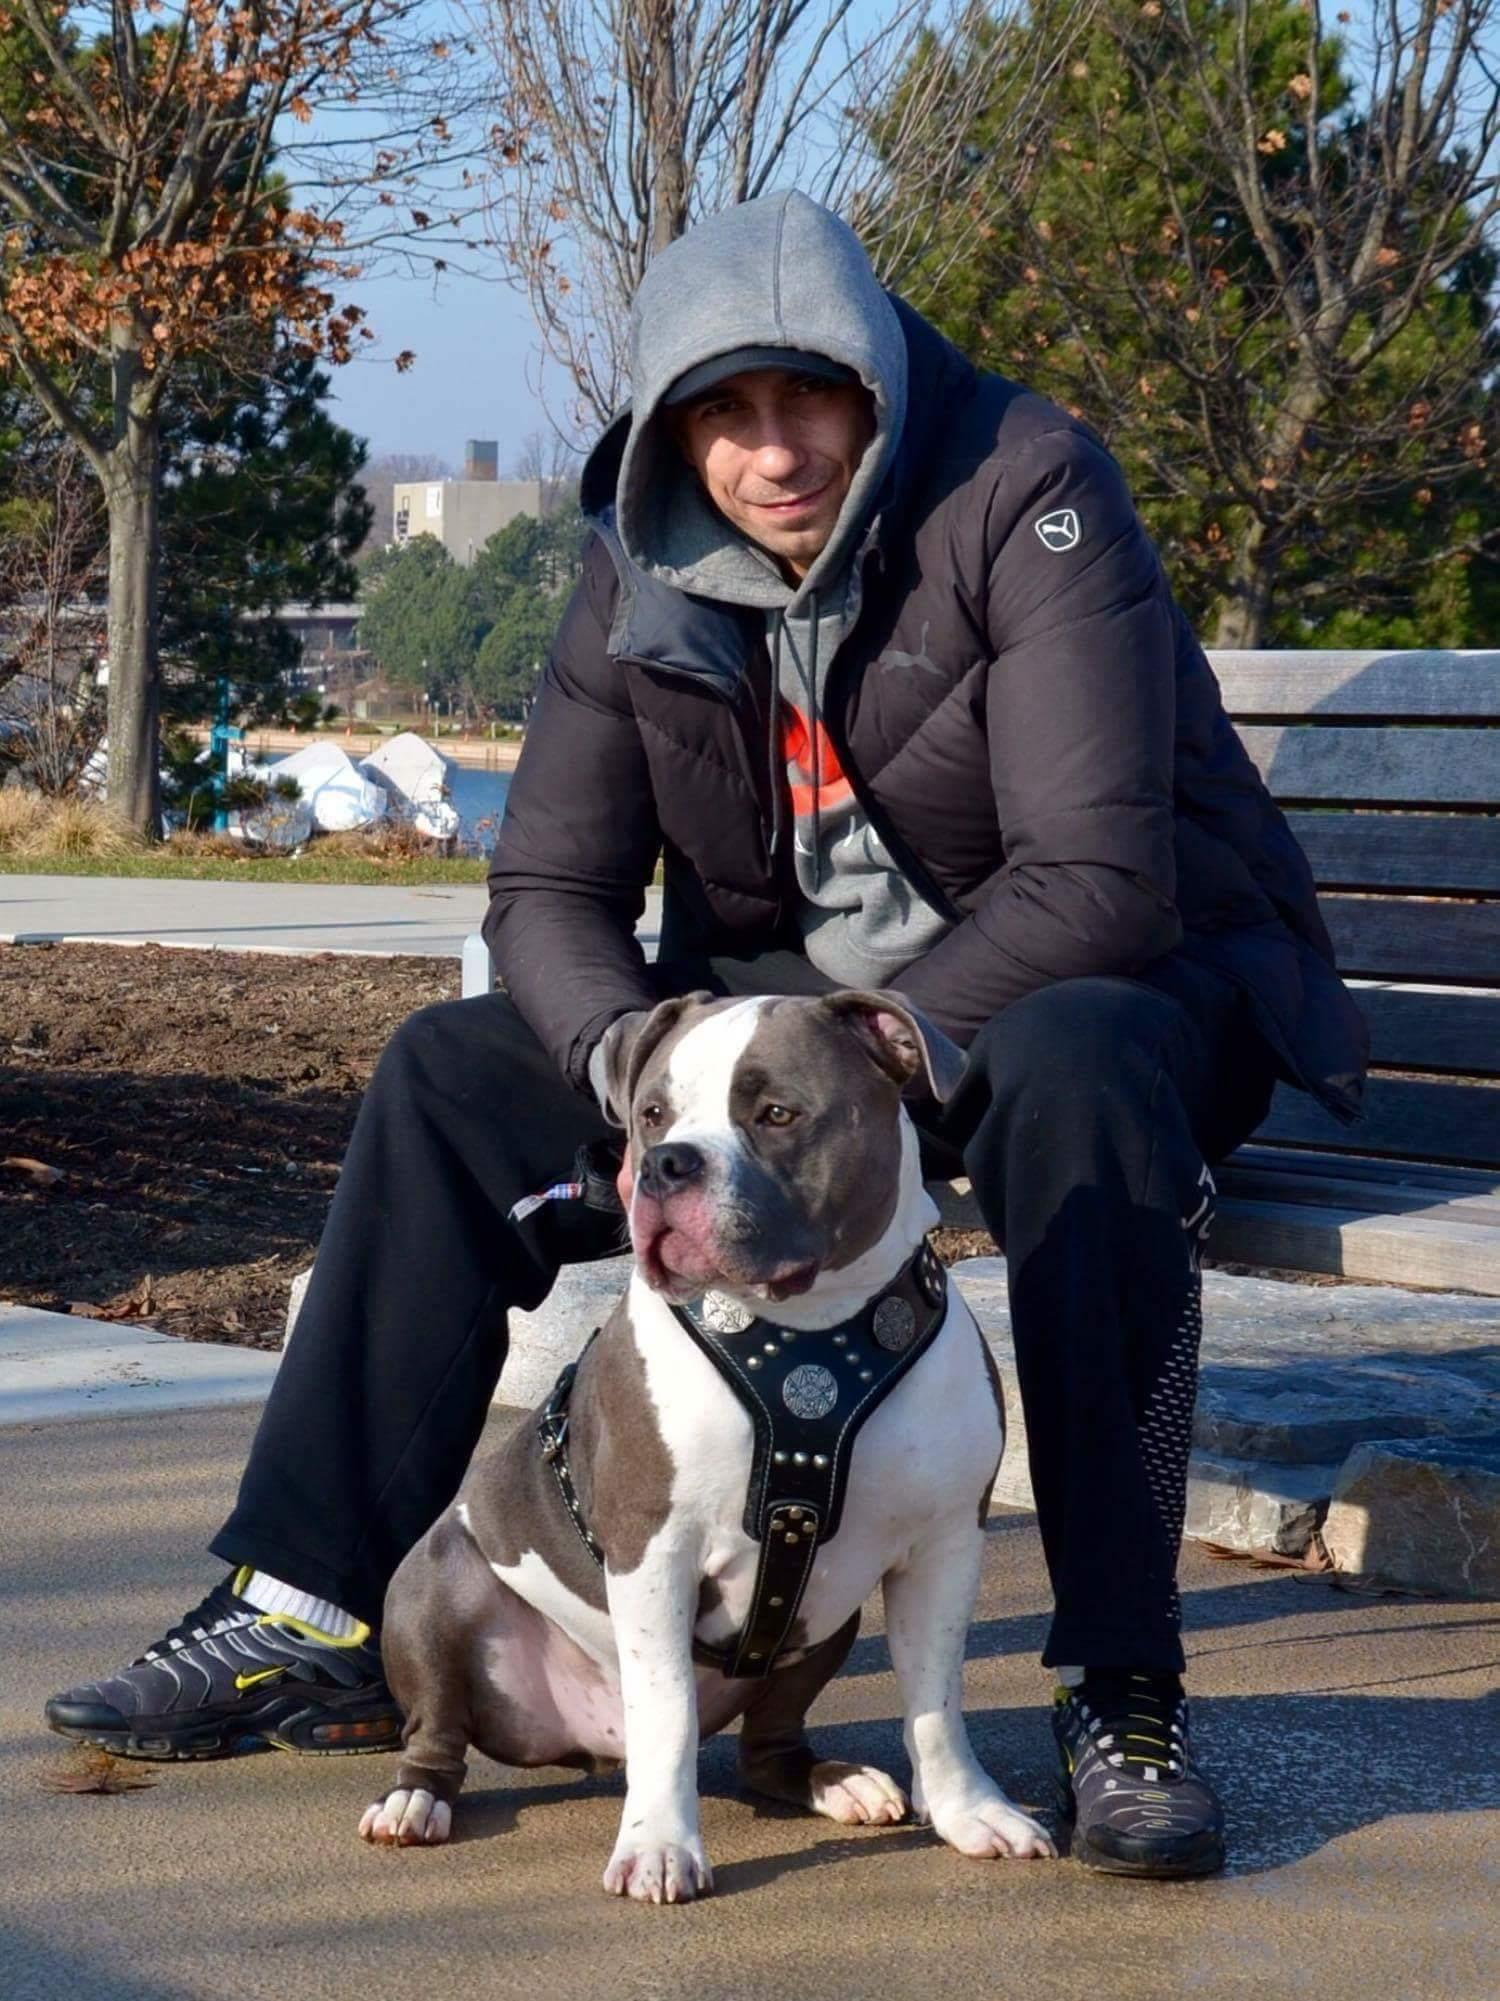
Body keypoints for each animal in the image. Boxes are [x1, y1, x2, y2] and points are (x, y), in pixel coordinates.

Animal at [360, 992, 1056, 1896]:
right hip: (434, 1585)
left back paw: (838, 1782)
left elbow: (937, 1695)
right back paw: (413, 1802)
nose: (665, 1165)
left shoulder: (943, 1547)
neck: (809, 1336)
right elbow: (669, 1708)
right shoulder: (654, 1550)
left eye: (777, 1113)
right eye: (652, 1114)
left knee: (768, 1746)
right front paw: (660, 1841)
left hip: (823, 1620)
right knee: (438, 1730)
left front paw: (971, 1809)